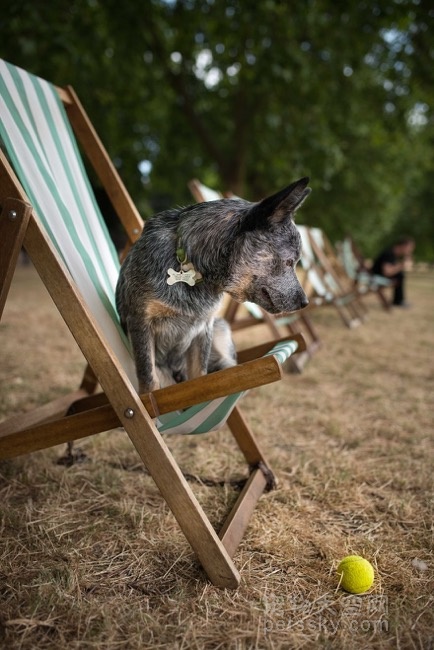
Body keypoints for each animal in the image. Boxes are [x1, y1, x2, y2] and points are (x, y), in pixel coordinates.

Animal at [114, 175, 312, 392]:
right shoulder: (140, 321)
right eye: (289, 262)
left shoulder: (204, 328)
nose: (305, 303)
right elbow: (149, 379)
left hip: (221, 327)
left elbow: (200, 377)